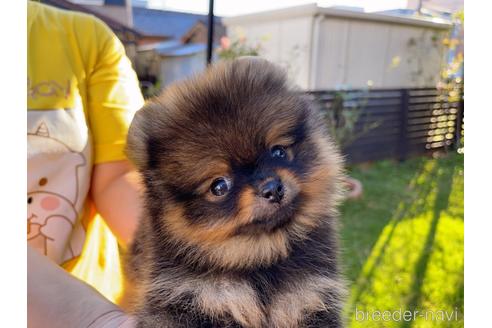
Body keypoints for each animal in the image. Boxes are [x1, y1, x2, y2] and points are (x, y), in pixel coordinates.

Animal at [123, 57, 346, 326]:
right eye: (219, 186)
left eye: (278, 152)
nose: (272, 189)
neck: (260, 256)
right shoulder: (187, 296)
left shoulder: (310, 297)